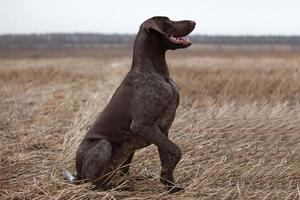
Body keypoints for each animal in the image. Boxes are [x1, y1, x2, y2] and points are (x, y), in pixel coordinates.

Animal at [69, 16, 195, 193]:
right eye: (167, 20)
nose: (194, 22)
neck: (157, 72)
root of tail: (78, 175)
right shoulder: (143, 125)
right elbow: (177, 151)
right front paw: (165, 174)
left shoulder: (163, 129)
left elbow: (167, 155)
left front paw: (170, 185)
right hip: (103, 145)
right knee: (95, 182)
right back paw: (114, 187)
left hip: (127, 152)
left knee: (122, 172)